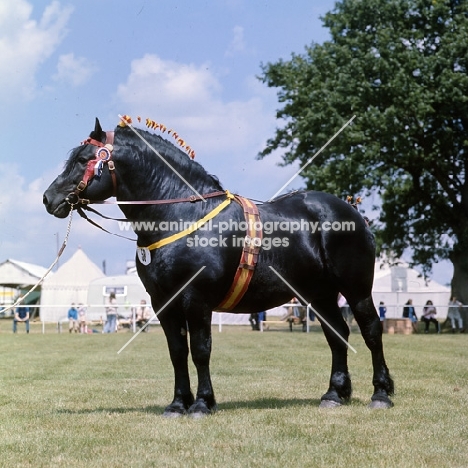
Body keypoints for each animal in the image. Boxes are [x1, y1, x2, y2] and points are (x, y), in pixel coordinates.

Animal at [44, 118, 394, 416]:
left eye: (83, 159)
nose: (49, 198)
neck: (182, 216)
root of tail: (352, 211)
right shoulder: (163, 303)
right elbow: (177, 352)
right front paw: (177, 404)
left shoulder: (196, 299)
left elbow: (200, 349)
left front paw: (202, 403)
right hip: (319, 295)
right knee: (338, 335)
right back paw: (335, 394)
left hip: (356, 290)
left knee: (371, 331)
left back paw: (381, 394)